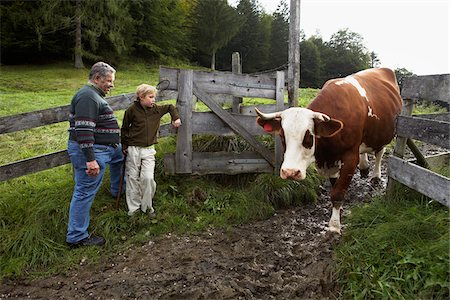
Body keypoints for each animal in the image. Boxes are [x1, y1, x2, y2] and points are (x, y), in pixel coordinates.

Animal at [255, 68, 402, 234]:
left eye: (309, 136)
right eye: (282, 136)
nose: (290, 172)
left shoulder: (350, 157)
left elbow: (337, 193)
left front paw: (334, 226)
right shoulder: (332, 161)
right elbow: (334, 185)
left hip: (384, 134)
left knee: (379, 153)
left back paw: (376, 176)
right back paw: (364, 167)